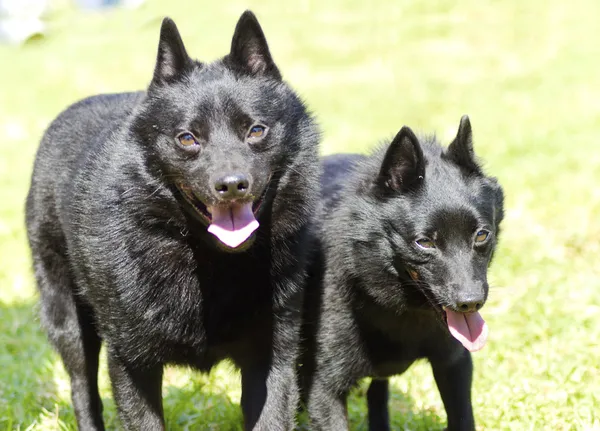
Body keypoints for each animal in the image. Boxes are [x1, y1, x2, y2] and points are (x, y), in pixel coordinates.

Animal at [25, 11, 322, 431]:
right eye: (187, 138)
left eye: (255, 130)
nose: (232, 185)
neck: (212, 261)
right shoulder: (132, 361)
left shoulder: (272, 356)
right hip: (66, 319)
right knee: (83, 389)